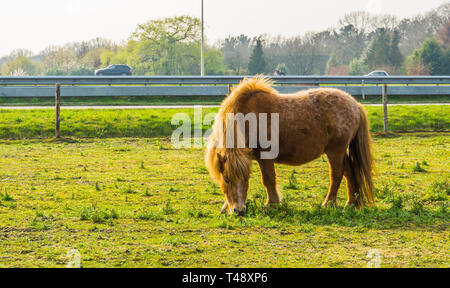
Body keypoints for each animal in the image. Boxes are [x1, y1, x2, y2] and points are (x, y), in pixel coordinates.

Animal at [206, 76, 374, 216]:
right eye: (226, 179)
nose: (239, 211)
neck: (249, 117)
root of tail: (356, 105)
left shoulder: (265, 156)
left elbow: (268, 179)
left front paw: (272, 204)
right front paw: (225, 207)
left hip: (335, 151)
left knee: (337, 175)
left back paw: (328, 203)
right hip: (339, 152)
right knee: (349, 171)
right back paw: (351, 203)